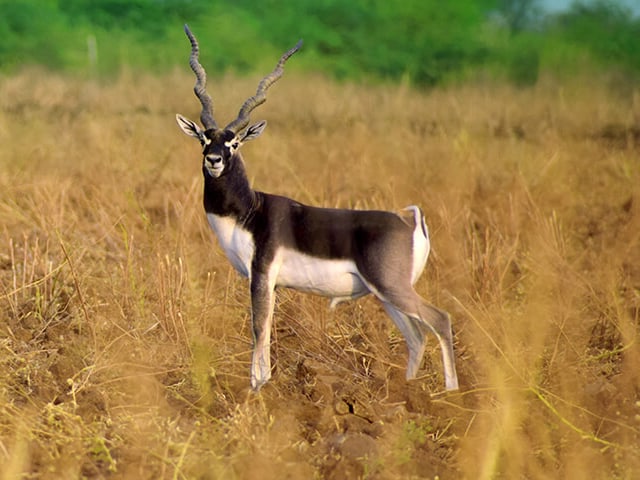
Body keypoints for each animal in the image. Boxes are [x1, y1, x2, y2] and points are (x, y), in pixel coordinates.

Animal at [174, 25, 460, 390]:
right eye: (204, 140)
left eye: (234, 143)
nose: (214, 160)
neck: (249, 212)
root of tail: (411, 223)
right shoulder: (271, 283)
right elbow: (265, 330)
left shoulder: (261, 275)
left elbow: (258, 330)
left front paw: (257, 389)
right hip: (386, 293)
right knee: (417, 336)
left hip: (392, 287)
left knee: (440, 320)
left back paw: (450, 395)